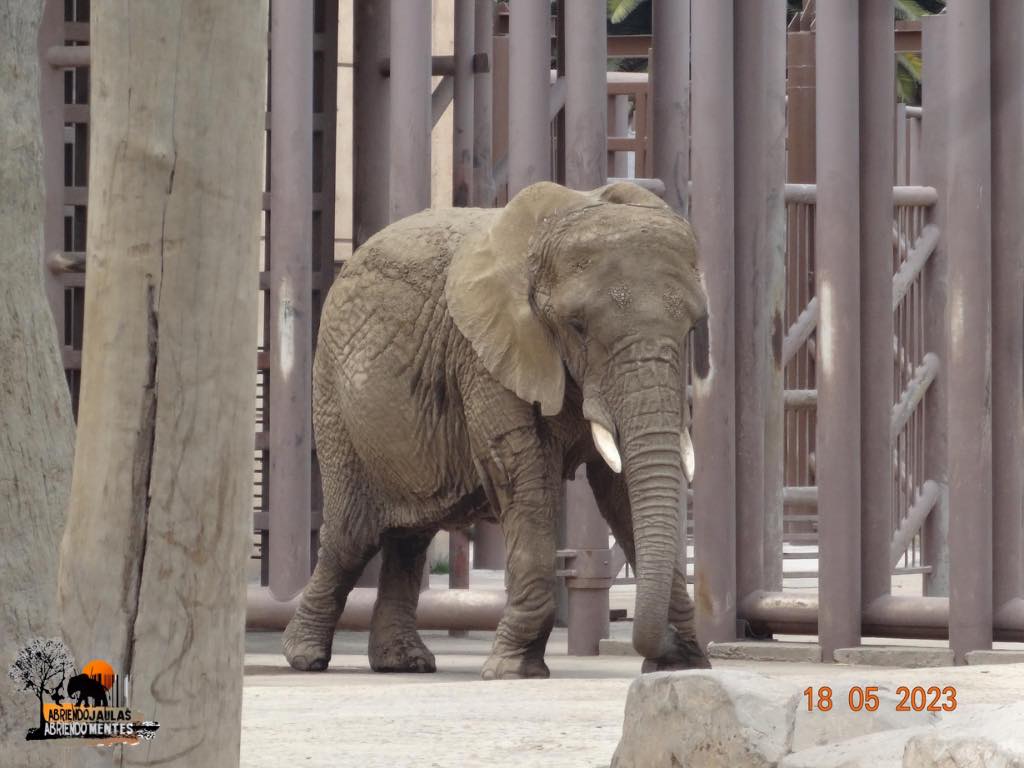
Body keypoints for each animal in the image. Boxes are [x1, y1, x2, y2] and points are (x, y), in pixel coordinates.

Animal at [282, 179, 712, 679]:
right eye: (577, 326)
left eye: (694, 326)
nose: (659, 643)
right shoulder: (486, 353)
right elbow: (524, 476)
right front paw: (512, 669)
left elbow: (621, 490)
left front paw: (682, 666)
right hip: (334, 398)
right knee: (352, 536)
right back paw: (306, 657)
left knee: (410, 535)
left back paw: (404, 663)